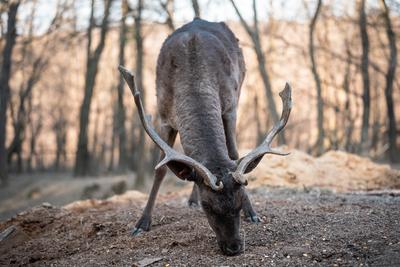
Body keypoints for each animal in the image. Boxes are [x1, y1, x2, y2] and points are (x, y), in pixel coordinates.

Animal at [117, 17, 292, 256]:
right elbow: (160, 169)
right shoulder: (164, 117)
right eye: (207, 206)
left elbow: (233, 154)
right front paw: (142, 223)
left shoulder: (230, 107)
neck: (194, 73)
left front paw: (252, 212)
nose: (234, 247)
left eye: (240, 200)